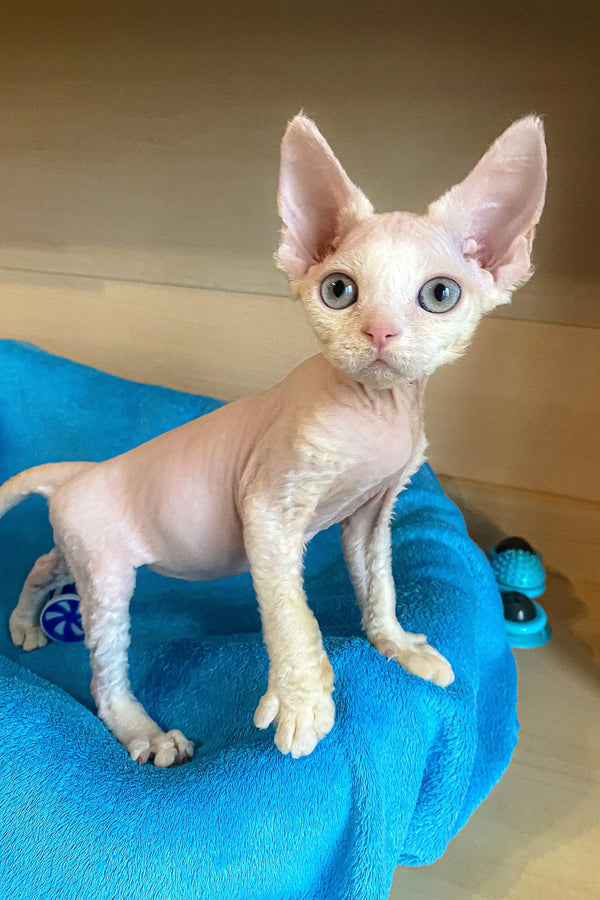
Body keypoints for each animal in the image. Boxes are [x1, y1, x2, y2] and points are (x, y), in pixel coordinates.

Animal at [0, 116, 544, 768]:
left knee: (45, 559)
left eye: (441, 294)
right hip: (107, 576)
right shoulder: (268, 511)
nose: (380, 333)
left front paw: (394, 643)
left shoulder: (373, 511)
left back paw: (25, 620)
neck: (375, 407)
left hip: (83, 546)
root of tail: (82, 471)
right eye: (339, 291)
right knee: (105, 676)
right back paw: (145, 733)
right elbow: (292, 614)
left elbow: (380, 581)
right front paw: (304, 701)